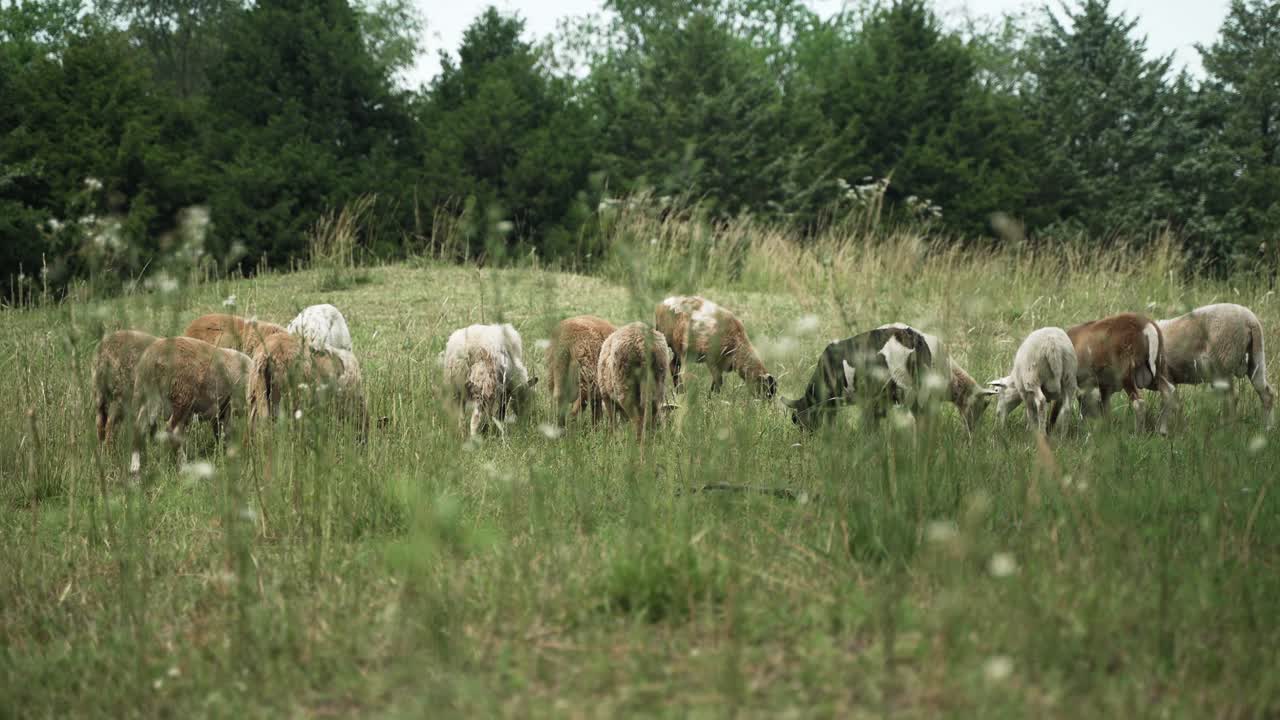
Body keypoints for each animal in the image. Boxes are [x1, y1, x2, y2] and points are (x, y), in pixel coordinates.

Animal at [130, 337, 253, 470]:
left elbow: (221, 432)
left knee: (139, 428)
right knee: (173, 430)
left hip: (148, 396)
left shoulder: (222, 408)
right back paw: (183, 466)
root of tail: (153, 358)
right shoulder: (230, 403)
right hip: (182, 395)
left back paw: (135, 469)